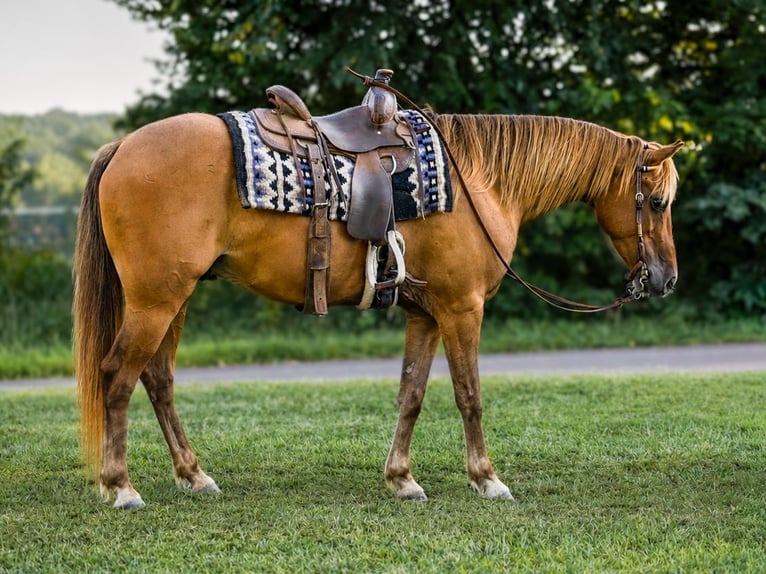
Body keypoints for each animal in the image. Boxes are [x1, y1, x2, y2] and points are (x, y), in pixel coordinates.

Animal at [74, 108, 683, 509]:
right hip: (156, 300)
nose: (666, 278)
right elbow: (469, 396)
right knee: (117, 375)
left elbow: (411, 394)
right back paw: (120, 486)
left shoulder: (426, 313)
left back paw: (193, 475)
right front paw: (487, 479)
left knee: (158, 379)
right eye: (657, 202)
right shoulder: (462, 310)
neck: (479, 182)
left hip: (174, 299)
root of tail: (122, 147)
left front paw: (402, 479)